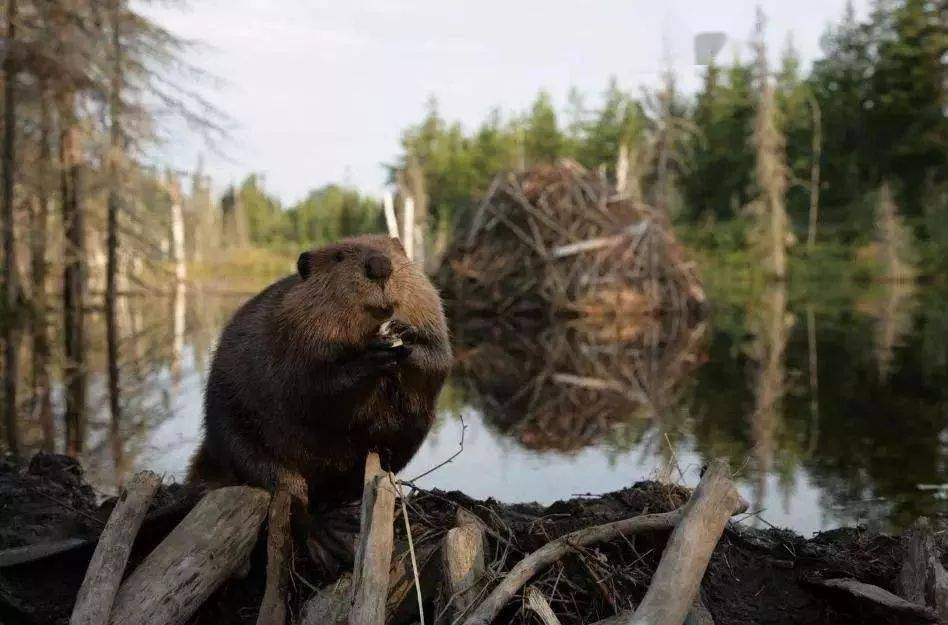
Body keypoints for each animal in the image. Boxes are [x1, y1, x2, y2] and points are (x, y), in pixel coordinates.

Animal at [188, 234, 452, 556]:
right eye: (339, 256)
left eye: (395, 251)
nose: (380, 265)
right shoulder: (292, 332)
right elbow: (314, 386)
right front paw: (371, 356)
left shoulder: (429, 308)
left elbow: (438, 358)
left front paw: (406, 338)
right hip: (243, 444)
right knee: (288, 493)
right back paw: (327, 535)